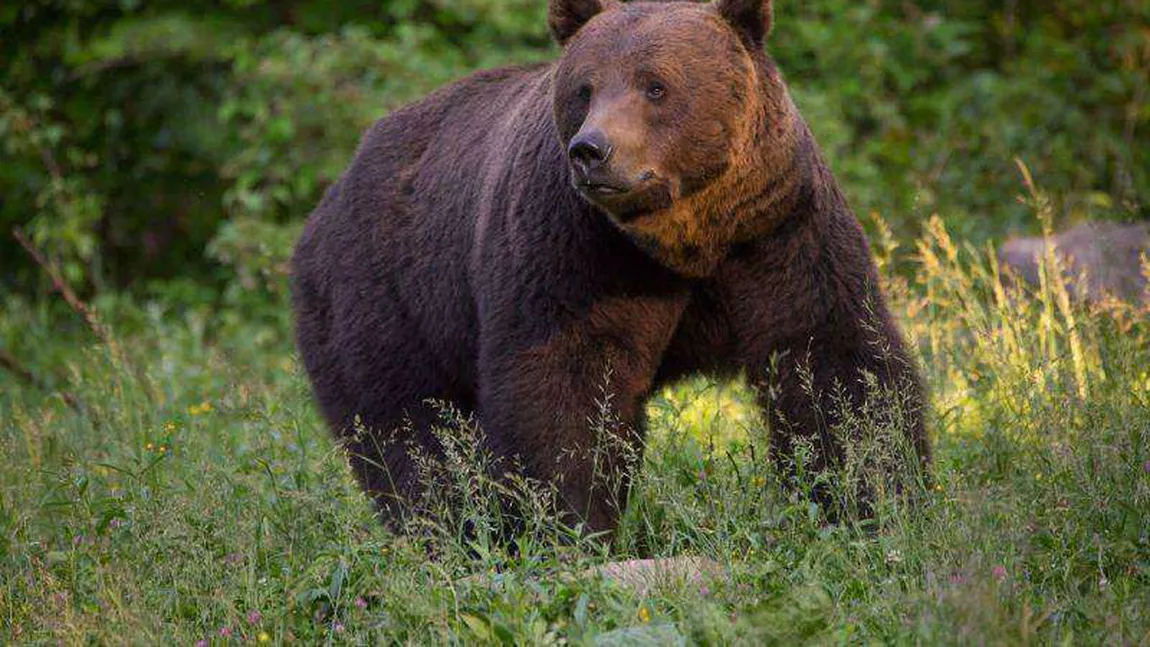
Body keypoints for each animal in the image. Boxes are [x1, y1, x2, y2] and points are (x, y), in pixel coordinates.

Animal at [292, 0, 929, 533]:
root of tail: (328, 198)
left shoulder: (778, 230)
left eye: (656, 85)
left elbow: (834, 362)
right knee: (410, 430)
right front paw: (569, 523)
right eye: (584, 87)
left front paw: (875, 499)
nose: (592, 150)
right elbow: (566, 385)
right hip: (383, 294)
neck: (688, 239)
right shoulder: (574, 249)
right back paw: (452, 530)